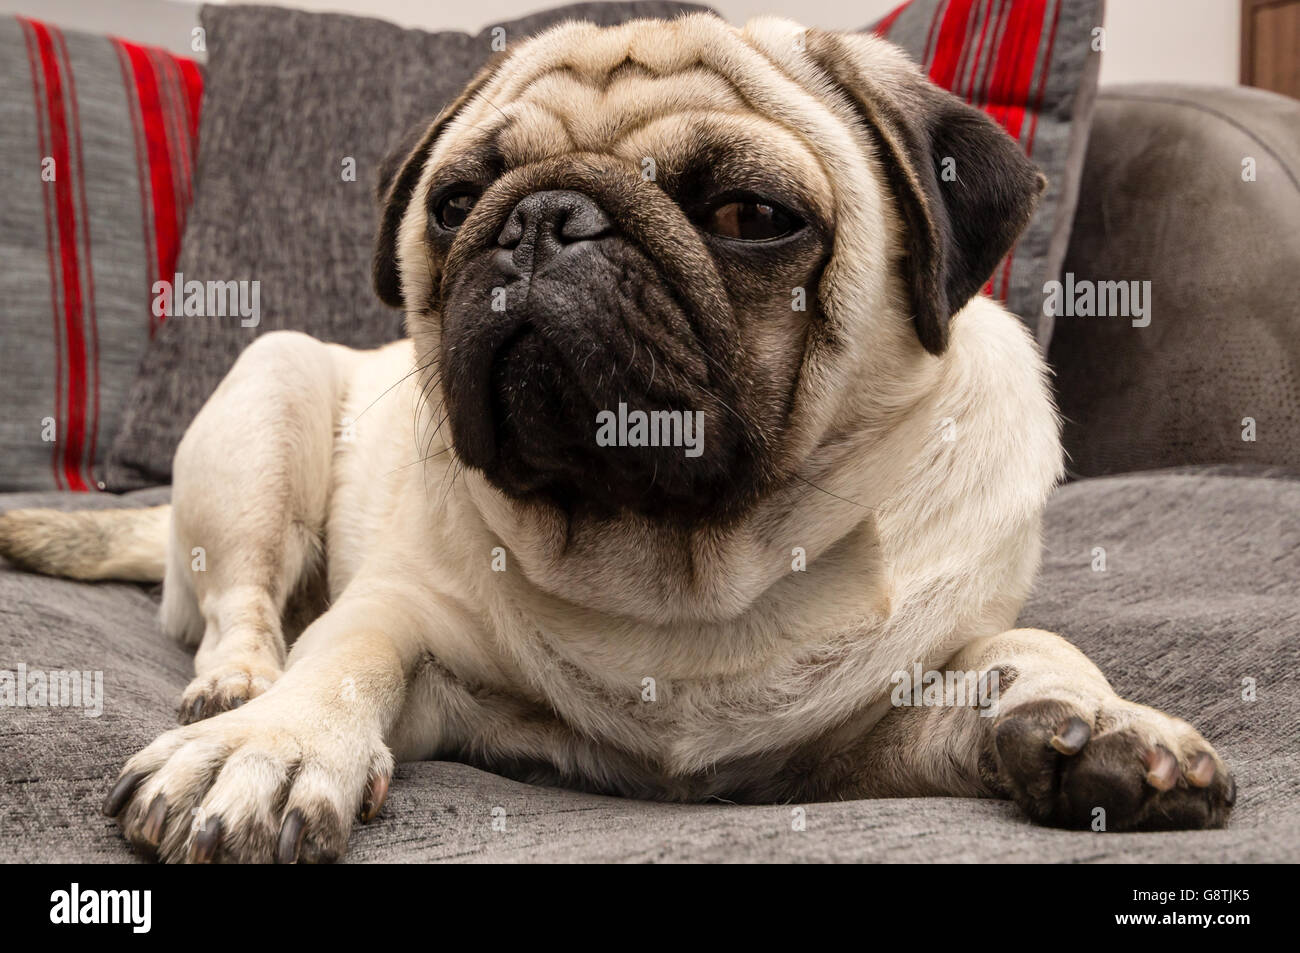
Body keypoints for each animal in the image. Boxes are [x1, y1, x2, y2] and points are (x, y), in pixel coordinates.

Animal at [0, 14, 1232, 863]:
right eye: (454, 204)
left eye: (750, 215)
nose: (543, 219)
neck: (686, 570)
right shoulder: (413, 631)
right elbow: (346, 652)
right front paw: (272, 742)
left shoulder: (852, 741)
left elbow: (1023, 649)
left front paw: (1096, 717)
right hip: (271, 398)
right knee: (241, 600)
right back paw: (235, 685)